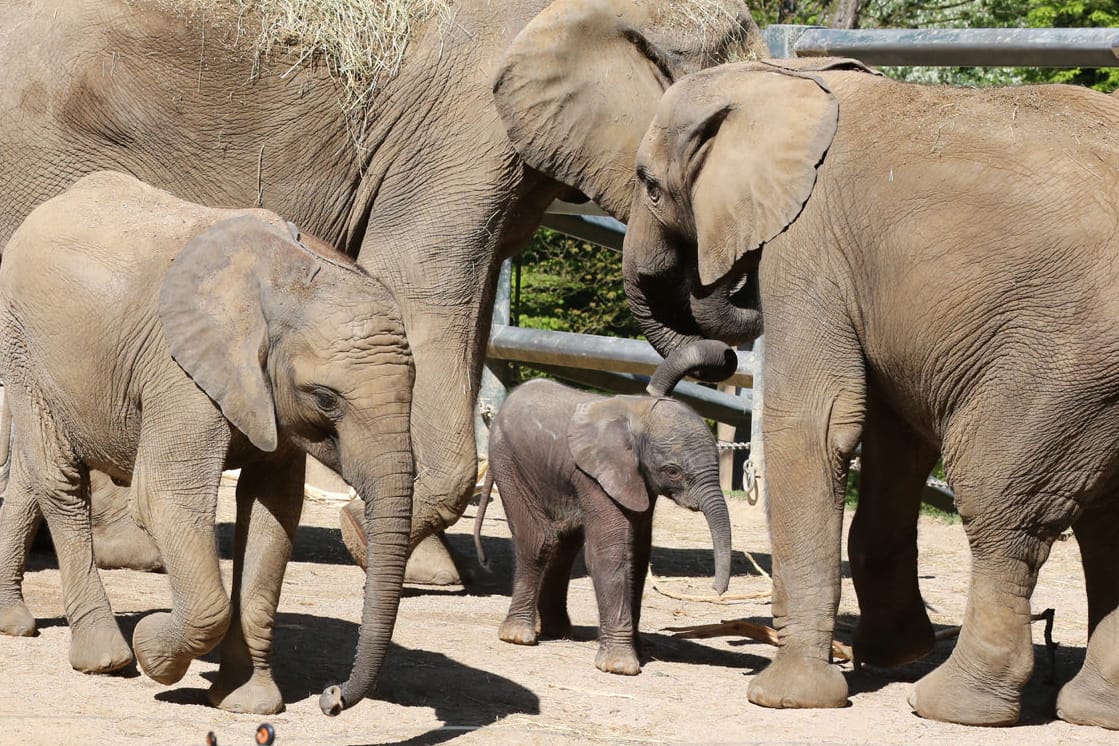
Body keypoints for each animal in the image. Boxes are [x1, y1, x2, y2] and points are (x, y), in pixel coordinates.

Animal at [0, 0, 769, 581]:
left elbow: (474, 305)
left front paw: (423, 561)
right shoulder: (461, 126)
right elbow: (421, 284)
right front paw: (368, 540)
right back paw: (124, 546)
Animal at [0, 172, 416, 715]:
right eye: (325, 398)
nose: (332, 699)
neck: (288, 275)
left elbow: (271, 510)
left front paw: (247, 704)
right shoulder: (178, 373)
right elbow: (166, 499)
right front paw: (153, 652)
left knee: (31, 478)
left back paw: (13, 622)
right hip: (23, 346)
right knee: (60, 481)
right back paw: (107, 659)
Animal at [472, 342, 734, 675]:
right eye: (672, 471)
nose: (716, 591)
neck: (636, 414)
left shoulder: (635, 480)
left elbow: (637, 554)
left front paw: (638, 652)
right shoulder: (593, 476)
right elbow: (609, 554)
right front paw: (620, 667)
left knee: (564, 543)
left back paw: (559, 633)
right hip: (508, 462)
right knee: (539, 540)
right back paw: (519, 636)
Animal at [622, 59, 1119, 729]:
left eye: (649, 186)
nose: (721, 280)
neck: (793, 77)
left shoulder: (807, 245)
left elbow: (815, 425)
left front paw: (785, 697)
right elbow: (893, 439)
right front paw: (890, 653)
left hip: (1061, 363)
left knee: (1003, 506)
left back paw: (951, 705)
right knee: (1104, 528)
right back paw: (1090, 709)